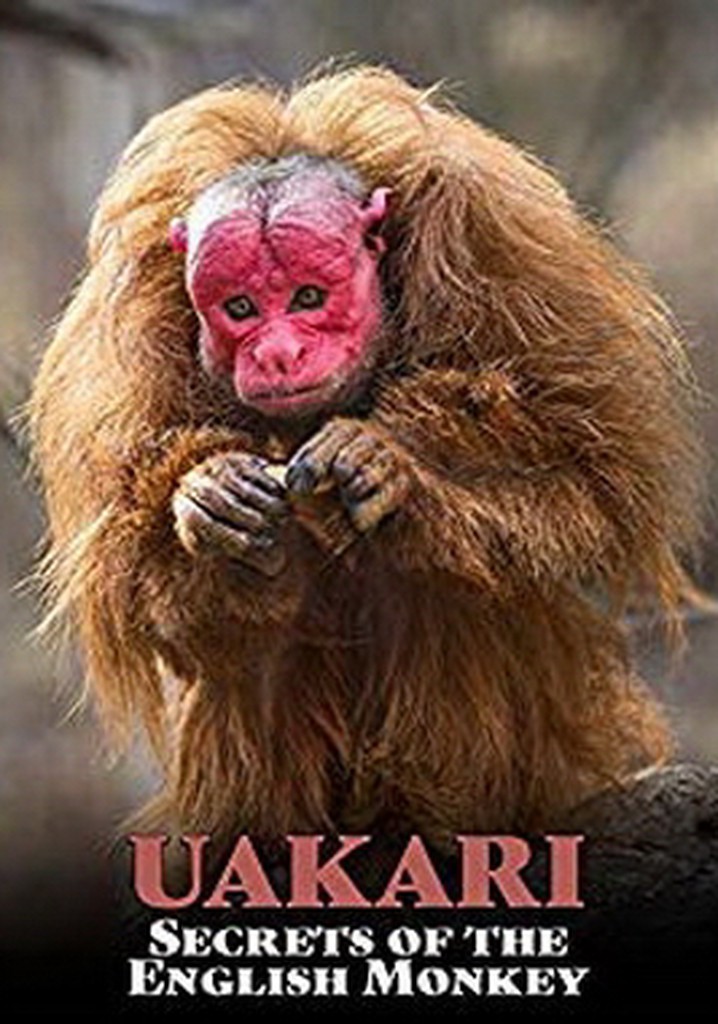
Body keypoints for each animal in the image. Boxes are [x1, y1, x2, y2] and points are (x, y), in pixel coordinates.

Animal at [29, 66, 703, 846]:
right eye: (240, 309)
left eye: (308, 297)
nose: (278, 354)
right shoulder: (130, 337)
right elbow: (136, 578)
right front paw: (206, 501)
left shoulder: (498, 253)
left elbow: (593, 481)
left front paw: (395, 469)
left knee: (439, 576)